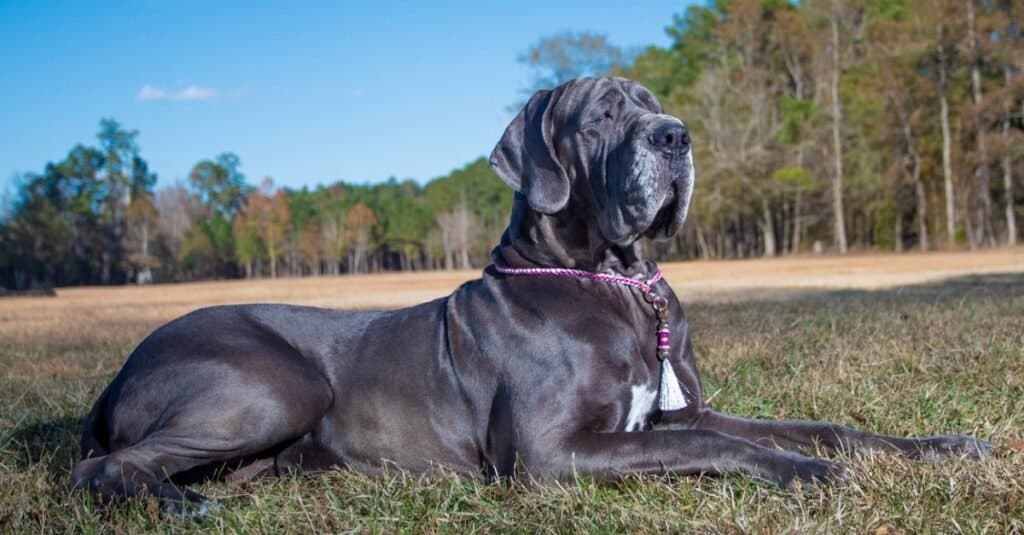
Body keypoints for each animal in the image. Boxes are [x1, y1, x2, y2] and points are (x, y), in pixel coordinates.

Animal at [68, 76, 987, 514]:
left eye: (654, 106)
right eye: (601, 116)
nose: (677, 137)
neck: (616, 279)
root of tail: (116, 371)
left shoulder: (669, 414)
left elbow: (811, 421)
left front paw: (939, 445)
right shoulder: (551, 454)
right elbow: (728, 444)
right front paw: (806, 471)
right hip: (276, 383)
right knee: (102, 464)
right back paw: (183, 506)